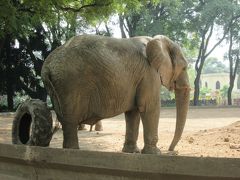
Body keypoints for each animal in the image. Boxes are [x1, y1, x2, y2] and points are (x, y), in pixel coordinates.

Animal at [41, 34, 191, 154]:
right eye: (185, 67)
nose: (172, 150)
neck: (157, 40)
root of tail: (47, 66)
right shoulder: (149, 73)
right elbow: (149, 107)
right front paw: (155, 153)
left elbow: (133, 112)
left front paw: (132, 152)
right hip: (70, 84)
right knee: (70, 122)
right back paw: (73, 151)